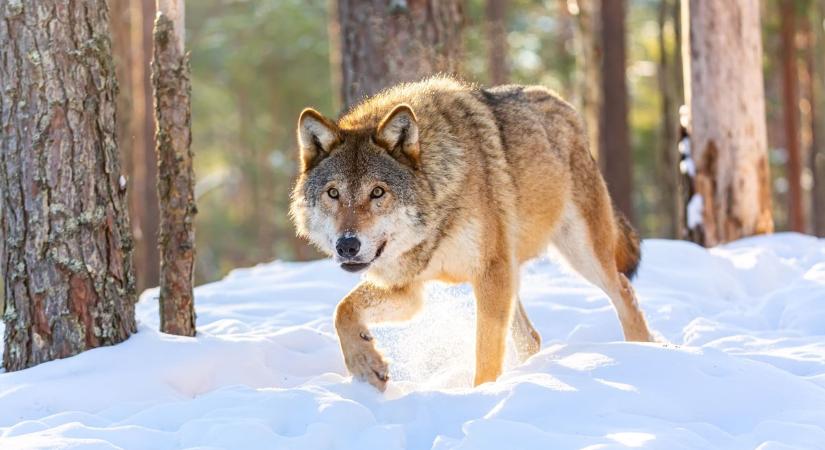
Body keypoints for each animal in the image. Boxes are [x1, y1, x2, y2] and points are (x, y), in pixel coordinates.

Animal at [290, 76, 652, 390]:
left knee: (624, 291)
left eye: (377, 192)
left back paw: (643, 355)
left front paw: (480, 395)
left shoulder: (489, 273)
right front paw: (366, 364)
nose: (347, 245)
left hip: (578, 254)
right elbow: (342, 311)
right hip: (515, 273)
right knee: (531, 338)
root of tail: (564, 104)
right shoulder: (407, 289)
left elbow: (486, 354)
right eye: (333, 193)